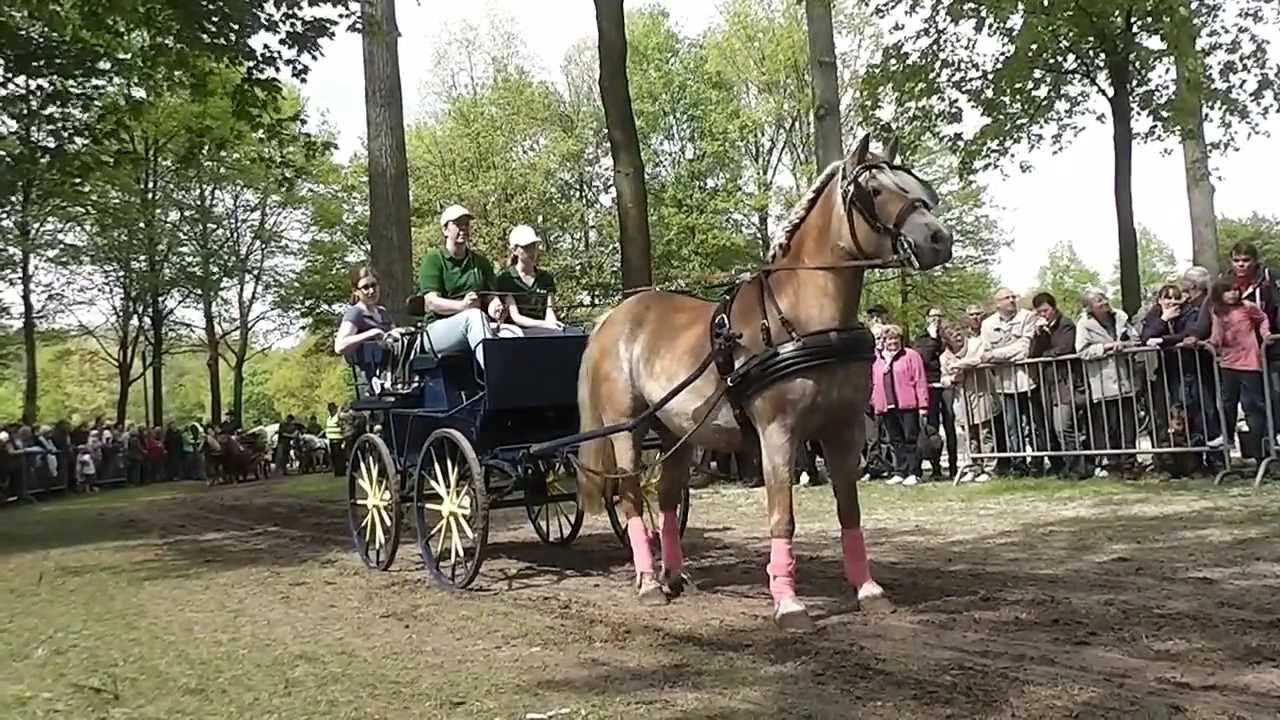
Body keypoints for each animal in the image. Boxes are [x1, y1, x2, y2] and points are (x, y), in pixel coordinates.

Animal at [575, 134, 954, 631]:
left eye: (916, 185)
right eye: (873, 190)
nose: (939, 239)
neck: (802, 319)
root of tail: (612, 317)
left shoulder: (843, 428)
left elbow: (848, 509)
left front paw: (868, 589)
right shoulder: (778, 432)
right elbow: (782, 517)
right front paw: (788, 601)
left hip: (677, 431)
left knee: (669, 496)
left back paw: (674, 575)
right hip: (626, 427)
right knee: (633, 496)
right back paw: (649, 582)